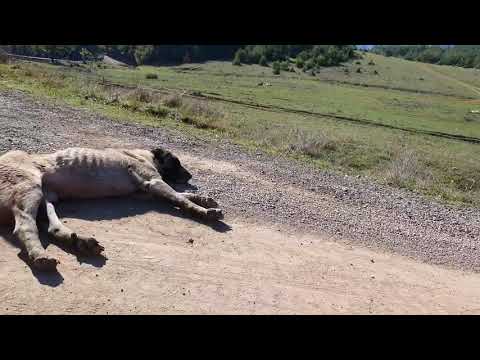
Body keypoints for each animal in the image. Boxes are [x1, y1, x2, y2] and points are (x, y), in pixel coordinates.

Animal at [0, 146, 224, 270]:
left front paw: (204, 199)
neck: (145, 156)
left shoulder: (147, 192)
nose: (190, 176)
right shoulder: (153, 183)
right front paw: (203, 211)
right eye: (176, 162)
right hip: (30, 190)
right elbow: (180, 198)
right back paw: (39, 255)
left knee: (52, 227)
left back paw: (79, 242)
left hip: (47, 198)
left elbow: (181, 195)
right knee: (25, 226)